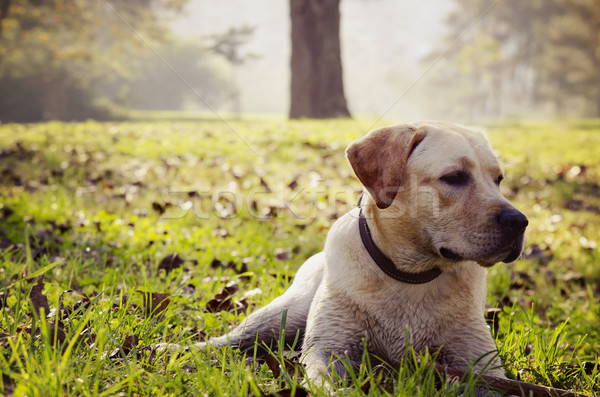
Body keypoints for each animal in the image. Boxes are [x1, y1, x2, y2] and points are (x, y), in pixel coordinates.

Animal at [195, 122, 528, 388]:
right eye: (454, 177)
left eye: (498, 180)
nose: (519, 221)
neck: (410, 274)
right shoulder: (329, 348)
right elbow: (324, 381)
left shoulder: (478, 362)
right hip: (284, 314)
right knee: (234, 338)